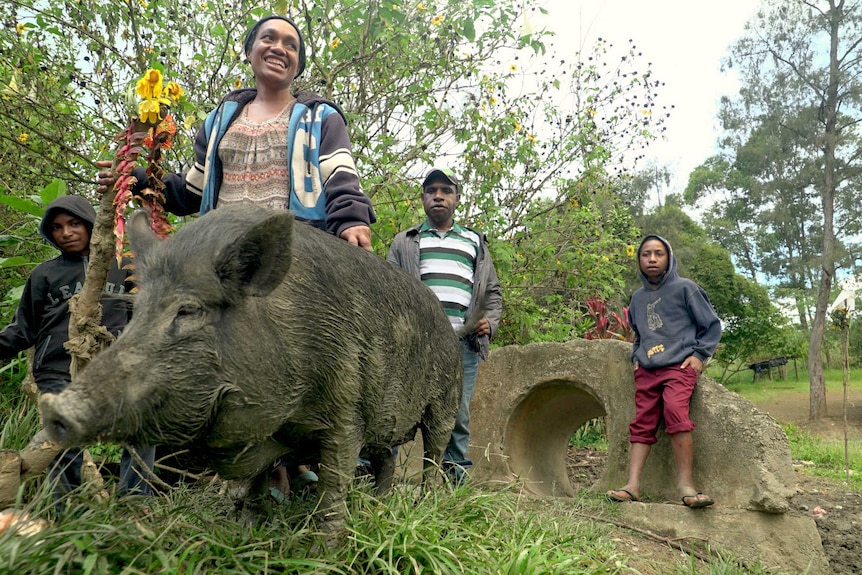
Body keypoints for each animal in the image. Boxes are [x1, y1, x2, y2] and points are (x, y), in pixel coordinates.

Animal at [38, 205, 466, 532]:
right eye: (137, 311)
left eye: (188, 310)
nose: (56, 408)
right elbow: (255, 481)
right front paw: (247, 529)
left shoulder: (347, 409)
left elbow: (334, 485)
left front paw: (324, 550)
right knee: (386, 458)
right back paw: (378, 503)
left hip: (446, 398)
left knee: (433, 454)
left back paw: (424, 503)